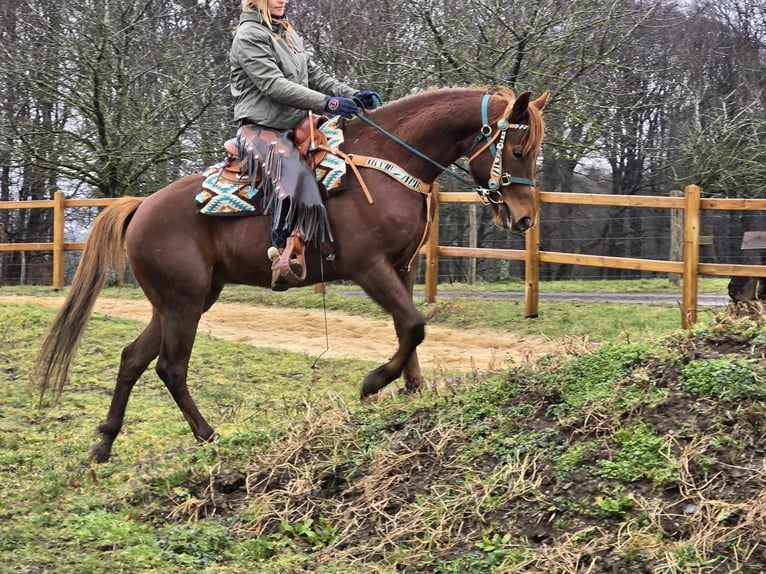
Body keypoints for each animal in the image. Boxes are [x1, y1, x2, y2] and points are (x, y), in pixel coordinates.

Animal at [34, 86, 552, 464]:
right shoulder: (369, 268)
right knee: (170, 367)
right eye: (519, 149)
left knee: (132, 359)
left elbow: (410, 331)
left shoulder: (402, 268)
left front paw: (414, 391)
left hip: (181, 301)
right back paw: (208, 435)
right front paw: (373, 383)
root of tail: (141, 207)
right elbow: (413, 326)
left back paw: (105, 443)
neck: (388, 162)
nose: (524, 218)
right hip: (183, 302)